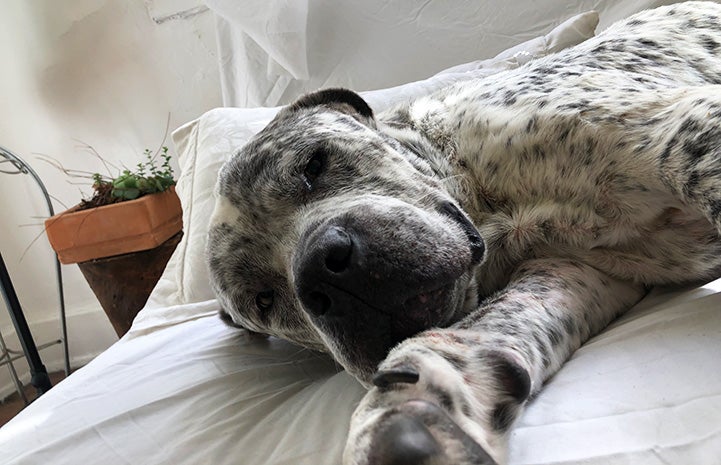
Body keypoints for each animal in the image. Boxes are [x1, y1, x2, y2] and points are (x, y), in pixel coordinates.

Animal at [205, 2, 720, 460]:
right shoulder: (577, 271)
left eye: (313, 165)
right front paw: (417, 402)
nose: (323, 271)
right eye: (264, 300)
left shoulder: (681, 133)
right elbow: (497, 321)